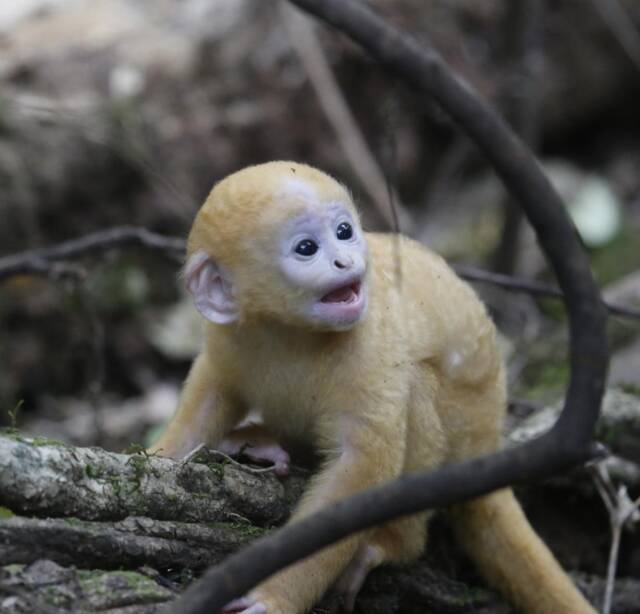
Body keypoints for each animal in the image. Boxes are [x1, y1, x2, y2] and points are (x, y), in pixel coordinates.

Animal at [151, 164, 596, 614]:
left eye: (344, 231)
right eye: (307, 248)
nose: (345, 260)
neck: (288, 332)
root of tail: (488, 440)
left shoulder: (366, 344)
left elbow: (362, 466)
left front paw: (273, 597)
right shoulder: (229, 336)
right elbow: (212, 389)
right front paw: (159, 454)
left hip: (464, 424)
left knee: (416, 391)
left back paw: (392, 543)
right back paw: (256, 444)